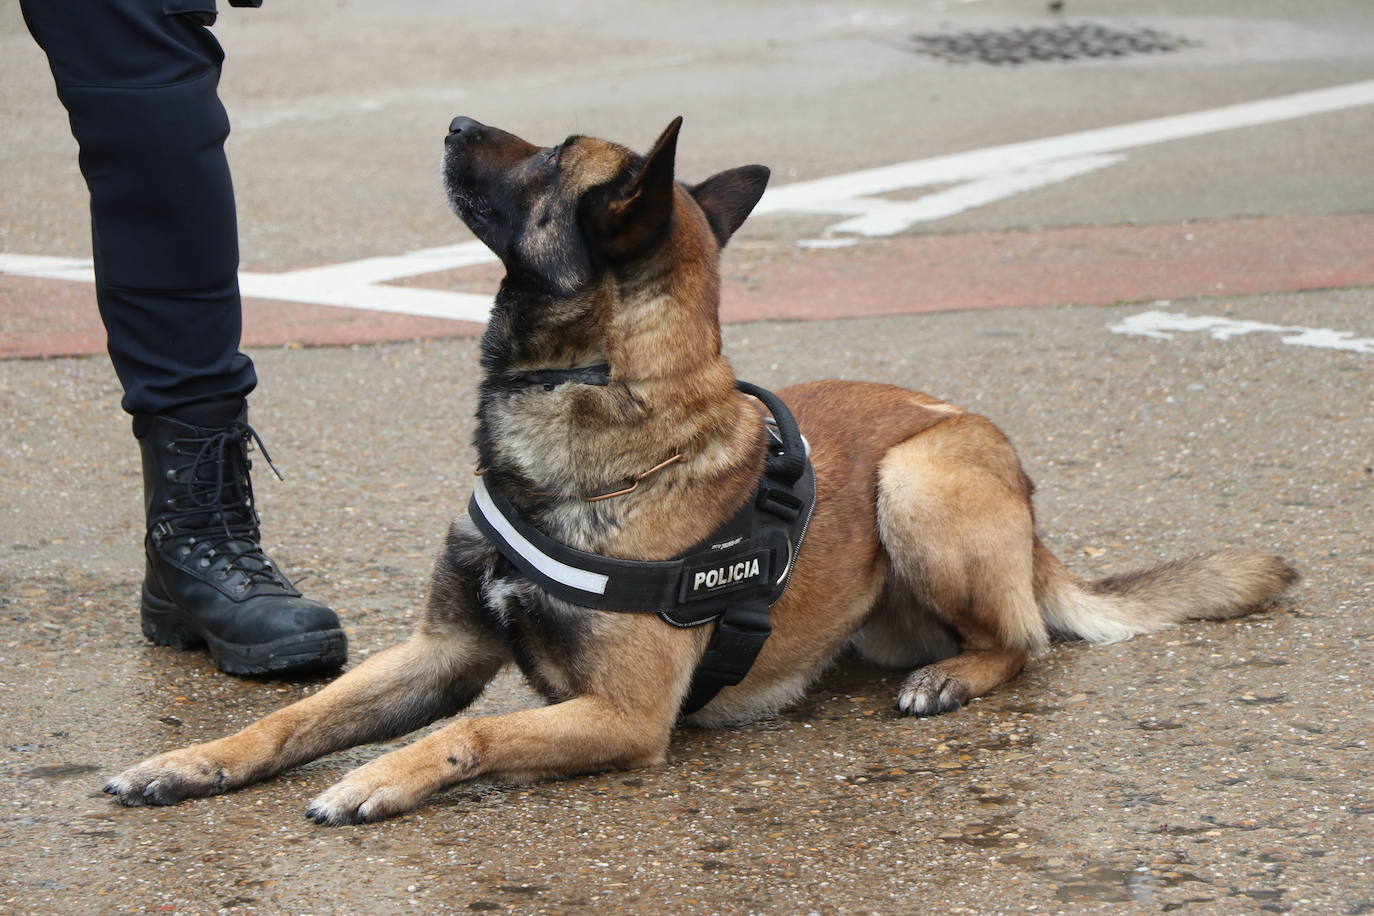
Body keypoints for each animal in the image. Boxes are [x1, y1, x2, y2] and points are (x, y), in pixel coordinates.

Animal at [101, 114, 1291, 823]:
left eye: (547, 159)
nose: (452, 123)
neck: (586, 442)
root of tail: (1032, 522)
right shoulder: (439, 650)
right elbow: (295, 717)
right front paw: (194, 760)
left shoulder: (621, 719)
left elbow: (469, 730)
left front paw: (379, 776)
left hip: (919, 480)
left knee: (1028, 642)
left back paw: (954, 675)